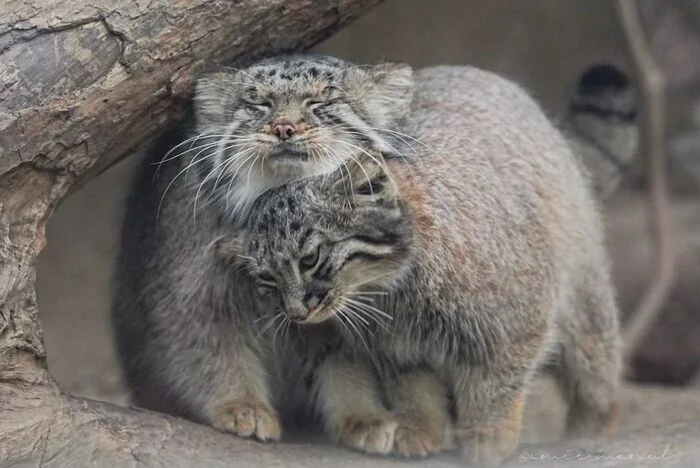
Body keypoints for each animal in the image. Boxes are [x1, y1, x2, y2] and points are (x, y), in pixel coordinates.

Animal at [224, 68, 616, 464]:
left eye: (310, 259)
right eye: (267, 278)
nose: (296, 314)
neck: (395, 292)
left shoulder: (515, 322)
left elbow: (496, 382)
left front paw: (488, 435)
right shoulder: (400, 349)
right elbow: (414, 389)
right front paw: (419, 427)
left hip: (585, 301)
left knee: (595, 370)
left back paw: (593, 429)